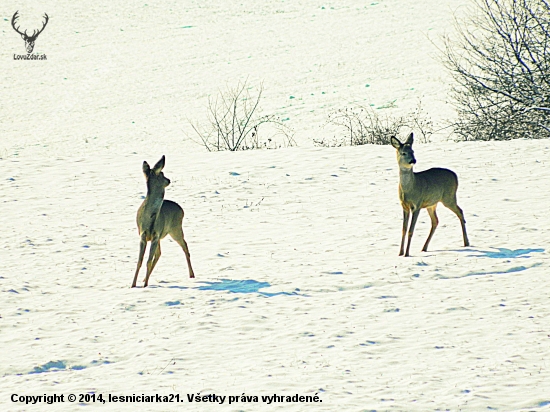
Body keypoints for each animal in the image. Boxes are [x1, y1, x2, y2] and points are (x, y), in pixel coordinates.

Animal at [132, 156, 196, 288]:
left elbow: (148, 261)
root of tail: (182, 210)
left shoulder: (156, 235)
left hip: (176, 229)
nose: (169, 180)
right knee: (159, 254)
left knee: (185, 246)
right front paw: (133, 285)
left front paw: (145, 286)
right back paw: (144, 279)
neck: (150, 218)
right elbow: (140, 261)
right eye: (161, 173)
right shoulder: (143, 235)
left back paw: (192, 275)